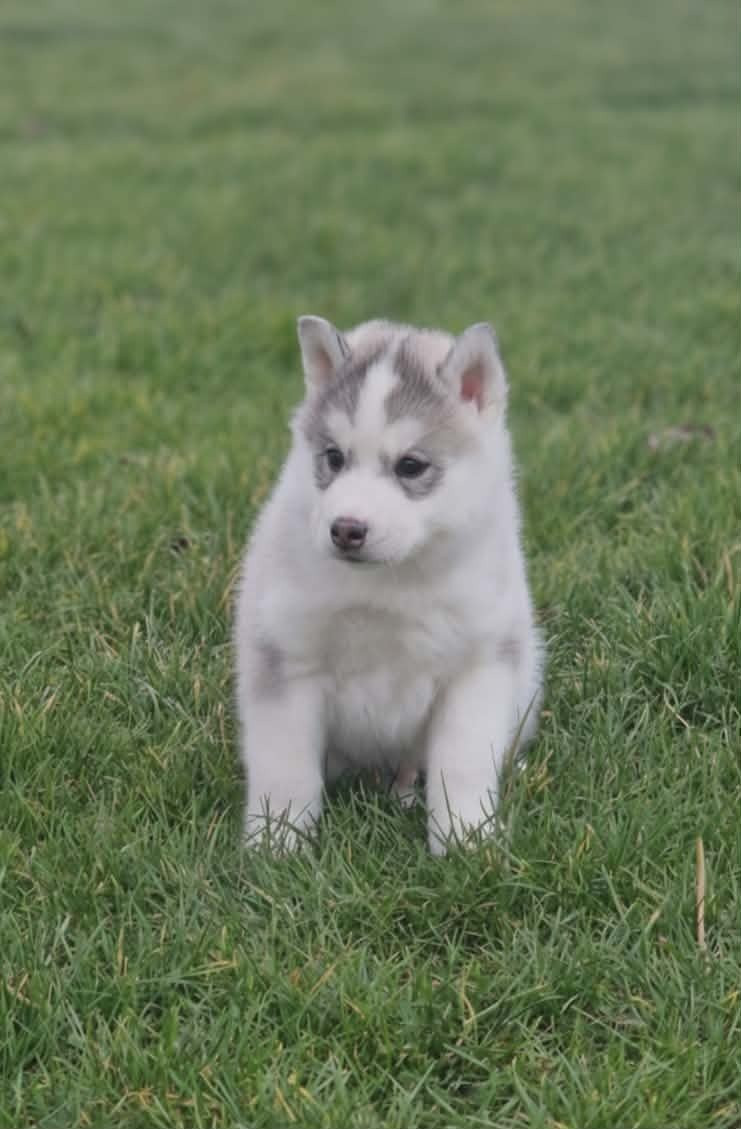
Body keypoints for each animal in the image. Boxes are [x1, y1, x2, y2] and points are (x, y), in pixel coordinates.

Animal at [234, 315, 543, 855]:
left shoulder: (478, 666)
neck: (389, 582)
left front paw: (465, 841)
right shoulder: (286, 658)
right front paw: (276, 846)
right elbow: (285, 770)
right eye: (333, 457)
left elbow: (462, 765)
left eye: (410, 466)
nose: (346, 529)